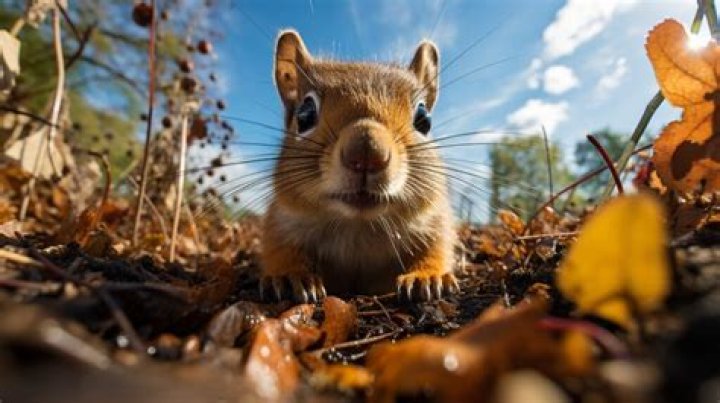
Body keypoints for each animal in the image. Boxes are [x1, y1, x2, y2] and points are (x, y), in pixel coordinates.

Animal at [259, 30, 458, 302]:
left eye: (424, 119)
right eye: (304, 114)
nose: (366, 153)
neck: (358, 229)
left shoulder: (435, 220)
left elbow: (438, 246)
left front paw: (426, 275)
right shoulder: (279, 220)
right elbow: (278, 247)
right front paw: (291, 275)